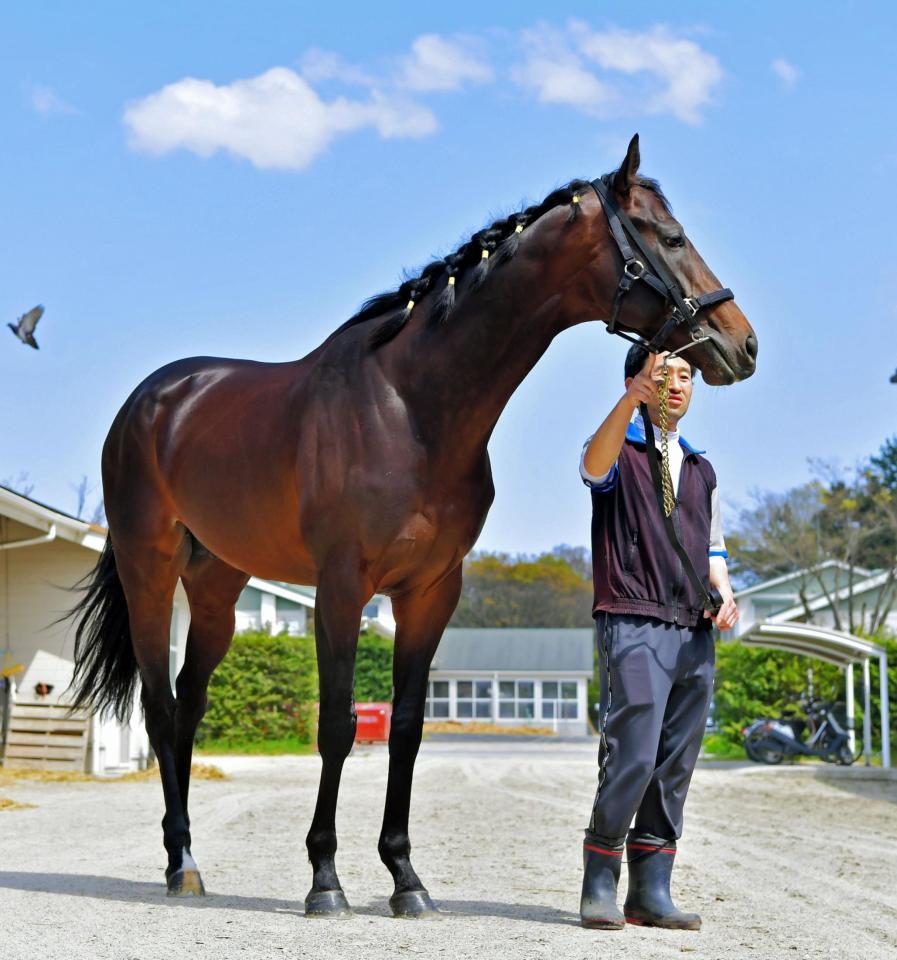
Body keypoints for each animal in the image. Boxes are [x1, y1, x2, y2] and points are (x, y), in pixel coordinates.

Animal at [70, 135, 756, 916]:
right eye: (668, 237)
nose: (742, 345)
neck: (411, 408)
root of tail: (151, 402)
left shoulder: (429, 592)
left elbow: (405, 728)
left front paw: (405, 879)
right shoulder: (342, 588)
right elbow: (338, 725)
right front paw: (326, 881)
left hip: (219, 587)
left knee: (189, 704)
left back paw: (184, 861)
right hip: (149, 573)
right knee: (158, 707)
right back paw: (181, 862)